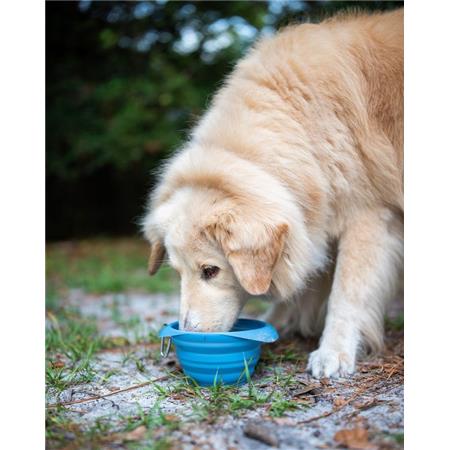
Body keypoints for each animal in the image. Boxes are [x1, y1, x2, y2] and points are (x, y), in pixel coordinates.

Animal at [142, 8, 404, 378]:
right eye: (178, 273)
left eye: (211, 271)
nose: (188, 331)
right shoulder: (310, 222)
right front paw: (281, 322)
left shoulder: (367, 217)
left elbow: (346, 292)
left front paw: (333, 352)